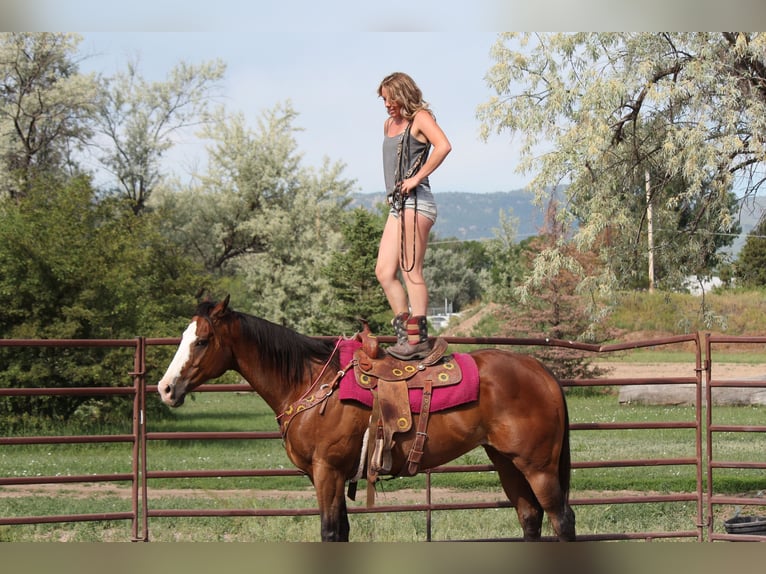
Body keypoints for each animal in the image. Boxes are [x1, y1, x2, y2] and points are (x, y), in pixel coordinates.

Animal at [157, 297, 576, 542]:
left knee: (562, 519)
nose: (165, 388)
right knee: (529, 517)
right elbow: (342, 531)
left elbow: (329, 532)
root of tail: (541, 372)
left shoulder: (327, 472)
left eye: (202, 341)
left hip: (538, 466)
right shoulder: (334, 475)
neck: (309, 382)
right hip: (506, 463)